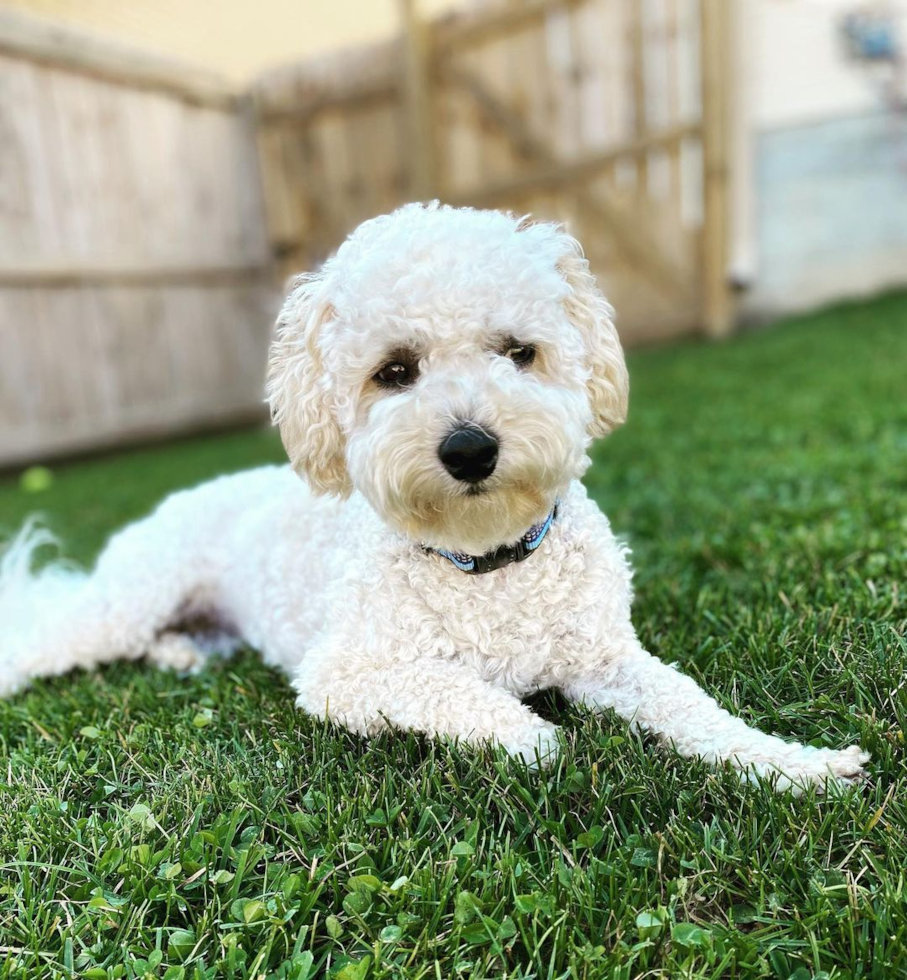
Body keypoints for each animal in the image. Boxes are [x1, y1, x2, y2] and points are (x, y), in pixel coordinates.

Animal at [0, 203, 872, 792]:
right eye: (394, 371)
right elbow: (465, 695)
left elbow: (694, 707)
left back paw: (181, 654)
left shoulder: (609, 657)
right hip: (126, 602)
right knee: (46, 638)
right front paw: (533, 735)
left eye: (518, 352)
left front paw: (795, 764)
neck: (483, 559)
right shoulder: (347, 675)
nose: (469, 447)